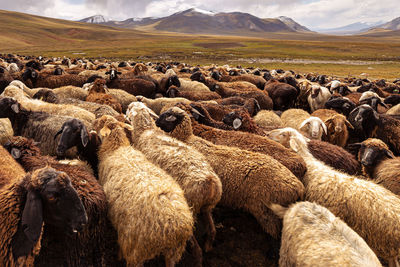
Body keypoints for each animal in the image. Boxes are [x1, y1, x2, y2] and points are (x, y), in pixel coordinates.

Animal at [94, 116, 194, 266]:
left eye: (100, 122)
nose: (93, 122)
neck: (116, 148)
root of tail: (174, 226)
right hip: (174, 252)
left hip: (136, 249)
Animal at [126, 102, 222, 253]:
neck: (146, 131)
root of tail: (210, 182)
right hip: (208, 207)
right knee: (212, 229)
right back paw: (208, 246)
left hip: (192, 207)